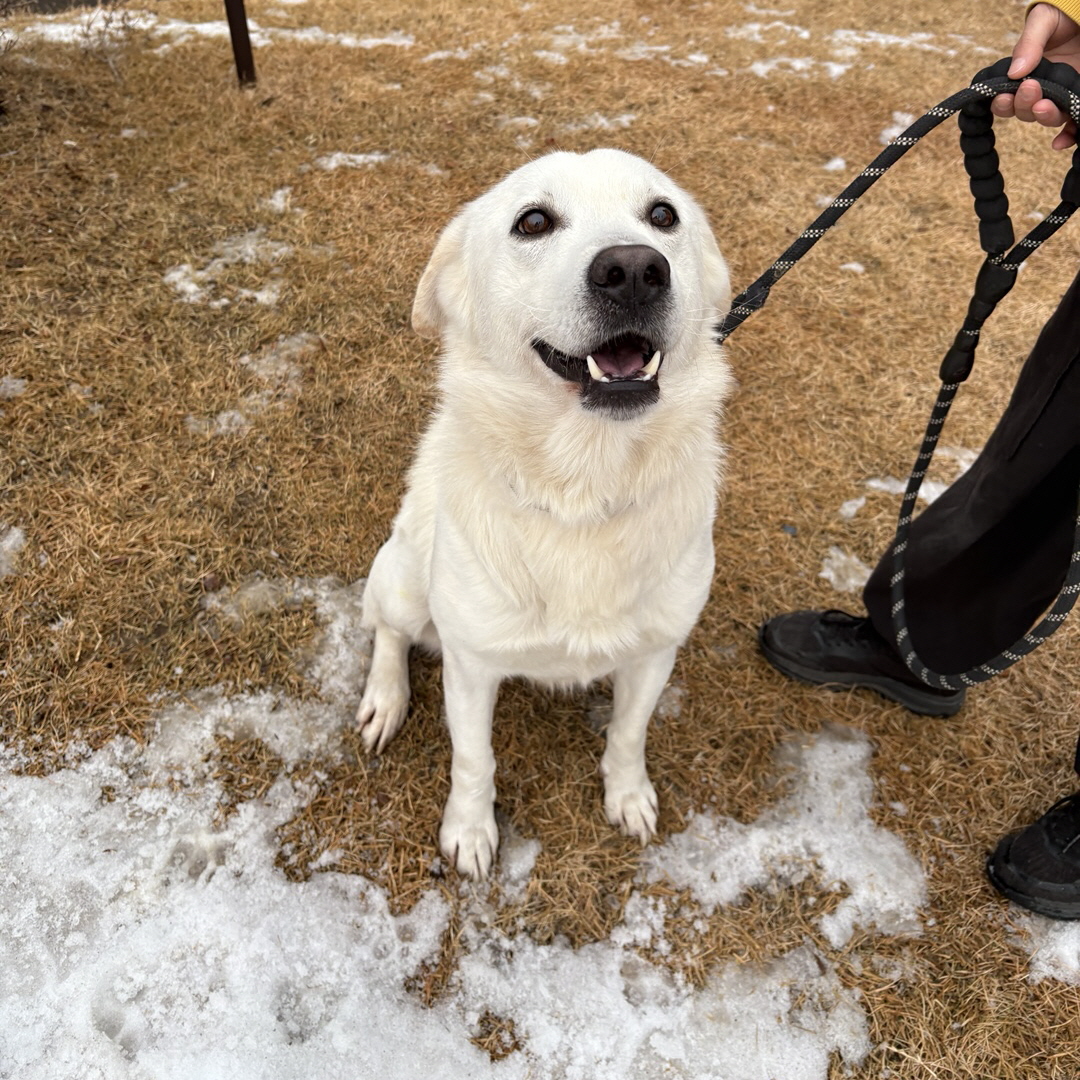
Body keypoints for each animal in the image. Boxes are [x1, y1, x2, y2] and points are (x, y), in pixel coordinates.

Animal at [358, 150, 730, 876]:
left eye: (663, 215)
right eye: (533, 222)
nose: (634, 271)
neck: (583, 484)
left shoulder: (654, 653)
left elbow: (628, 735)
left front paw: (628, 797)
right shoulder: (472, 666)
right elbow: (474, 760)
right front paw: (470, 831)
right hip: (405, 577)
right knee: (387, 630)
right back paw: (386, 698)